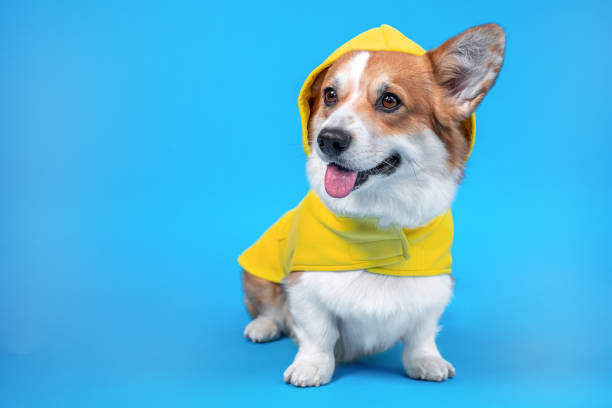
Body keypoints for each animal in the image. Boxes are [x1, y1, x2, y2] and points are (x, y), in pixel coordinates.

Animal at [238, 22, 502, 386]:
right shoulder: (304, 286)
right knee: (267, 306)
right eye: (329, 95)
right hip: (256, 273)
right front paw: (311, 366)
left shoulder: (435, 287)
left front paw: (426, 360)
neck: (376, 223)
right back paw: (262, 326)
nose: (328, 139)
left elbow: (422, 333)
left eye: (390, 100)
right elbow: (317, 332)